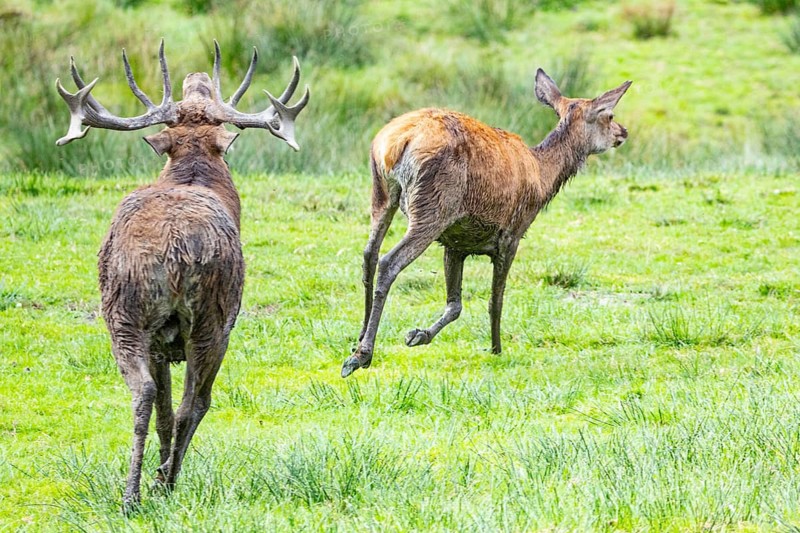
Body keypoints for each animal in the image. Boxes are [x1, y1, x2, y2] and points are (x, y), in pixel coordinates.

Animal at [55, 40, 309, 506]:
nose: (196, 78)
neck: (193, 177)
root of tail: (173, 253)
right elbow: (187, 406)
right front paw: (165, 472)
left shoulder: (159, 344)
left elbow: (164, 411)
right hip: (212, 314)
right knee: (196, 402)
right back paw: (165, 482)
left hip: (123, 311)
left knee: (145, 394)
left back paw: (132, 493)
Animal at [341, 69, 631, 378]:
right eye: (609, 115)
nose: (623, 132)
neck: (542, 179)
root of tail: (397, 142)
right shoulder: (511, 234)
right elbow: (496, 299)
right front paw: (496, 347)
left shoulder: (455, 242)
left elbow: (454, 304)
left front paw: (418, 335)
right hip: (433, 205)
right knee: (389, 261)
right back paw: (360, 356)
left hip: (382, 192)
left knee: (369, 254)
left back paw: (359, 336)